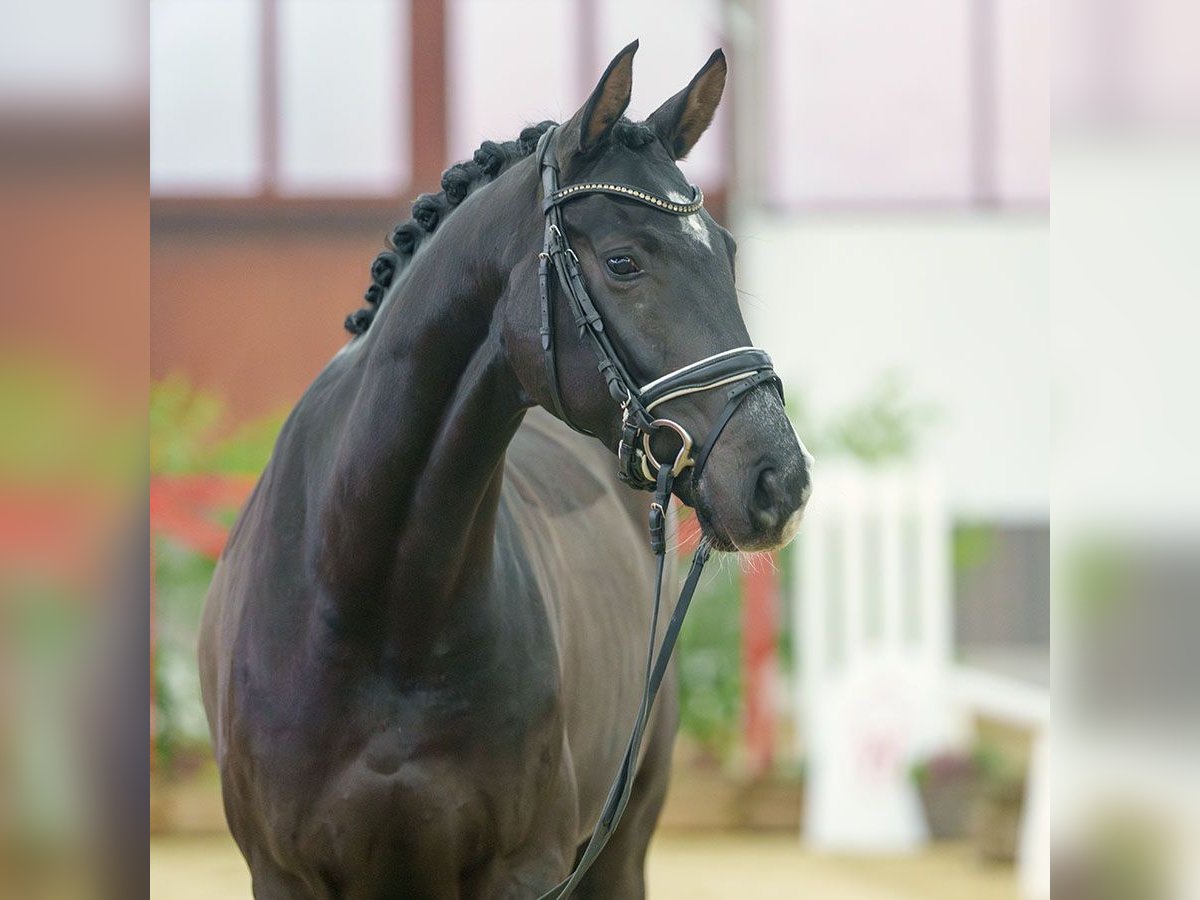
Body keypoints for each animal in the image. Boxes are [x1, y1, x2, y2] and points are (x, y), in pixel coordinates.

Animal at [201, 38, 811, 897]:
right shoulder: (283, 875)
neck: (380, 603)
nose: (778, 481)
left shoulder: (527, 869)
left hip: (621, 848)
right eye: (622, 261)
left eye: (725, 253)